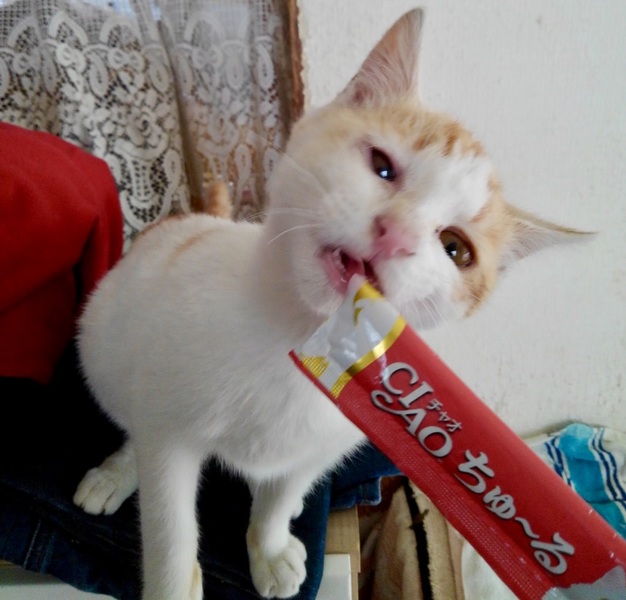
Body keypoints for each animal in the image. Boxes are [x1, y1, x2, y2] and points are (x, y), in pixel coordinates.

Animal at [73, 9, 586, 600]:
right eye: (382, 165)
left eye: (456, 248)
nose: (395, 234)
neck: (295, 340)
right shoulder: (171, 436)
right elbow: (169, 532)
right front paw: (174, 583)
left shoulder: (321, 444)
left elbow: (276, 497)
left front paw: (270, 546)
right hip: (105, 347)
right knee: (132, 419)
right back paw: (117, 471)